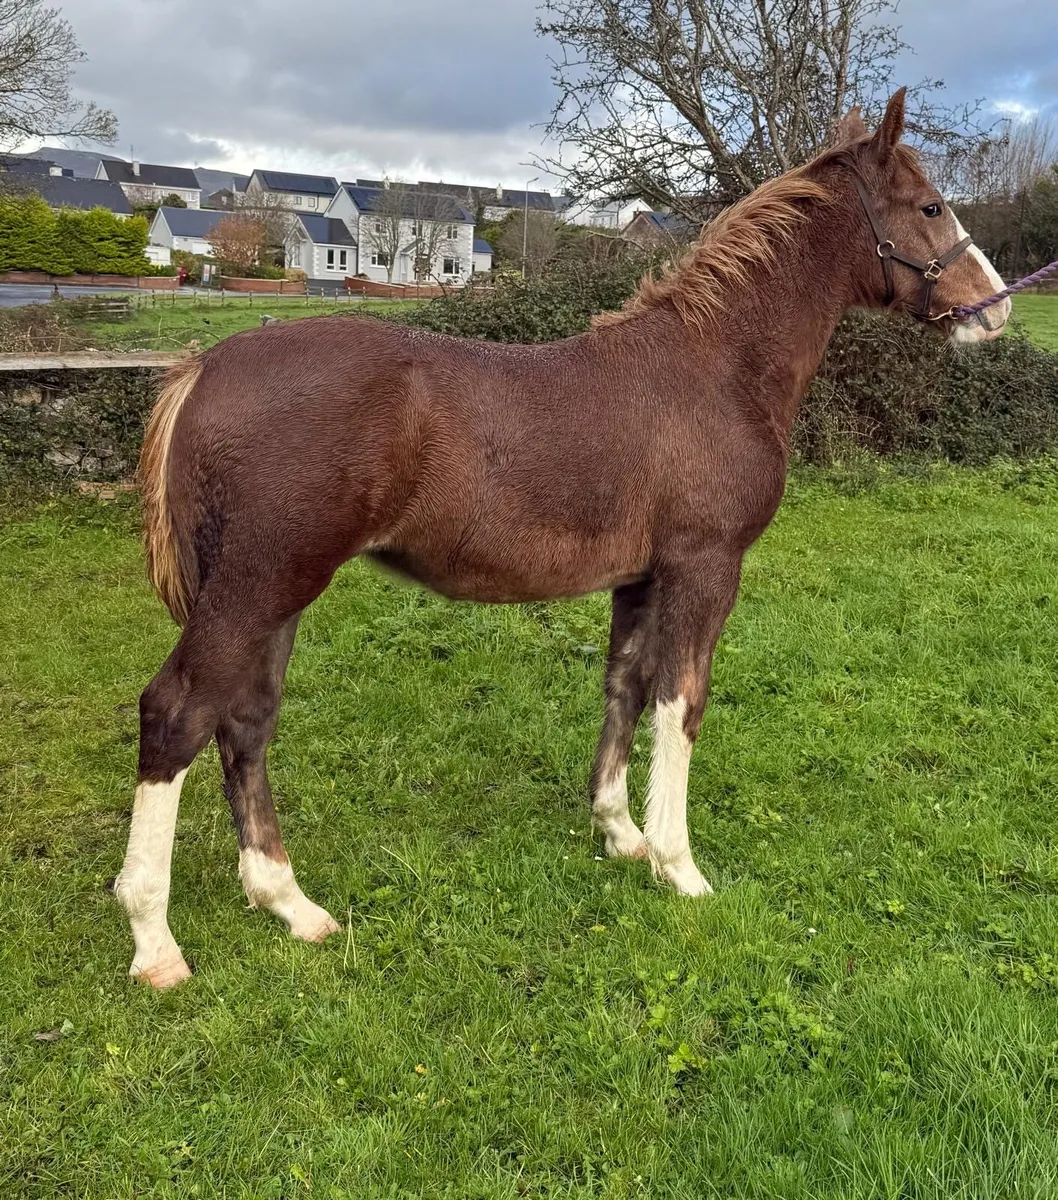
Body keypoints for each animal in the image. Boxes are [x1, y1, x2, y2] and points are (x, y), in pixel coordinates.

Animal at [114, 90, 1010, 987]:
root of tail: (203, 369)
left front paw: (621, 834)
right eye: (930, 206)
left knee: (245, 720)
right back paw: (156, 939)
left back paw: (289, 904)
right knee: (177, 712)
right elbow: (682, 701)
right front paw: (680, 865)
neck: (716, 367)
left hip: (278, 592)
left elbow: (627, 686)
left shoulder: (641, 577)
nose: (997, 306)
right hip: (259, 585)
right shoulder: (706, 566)